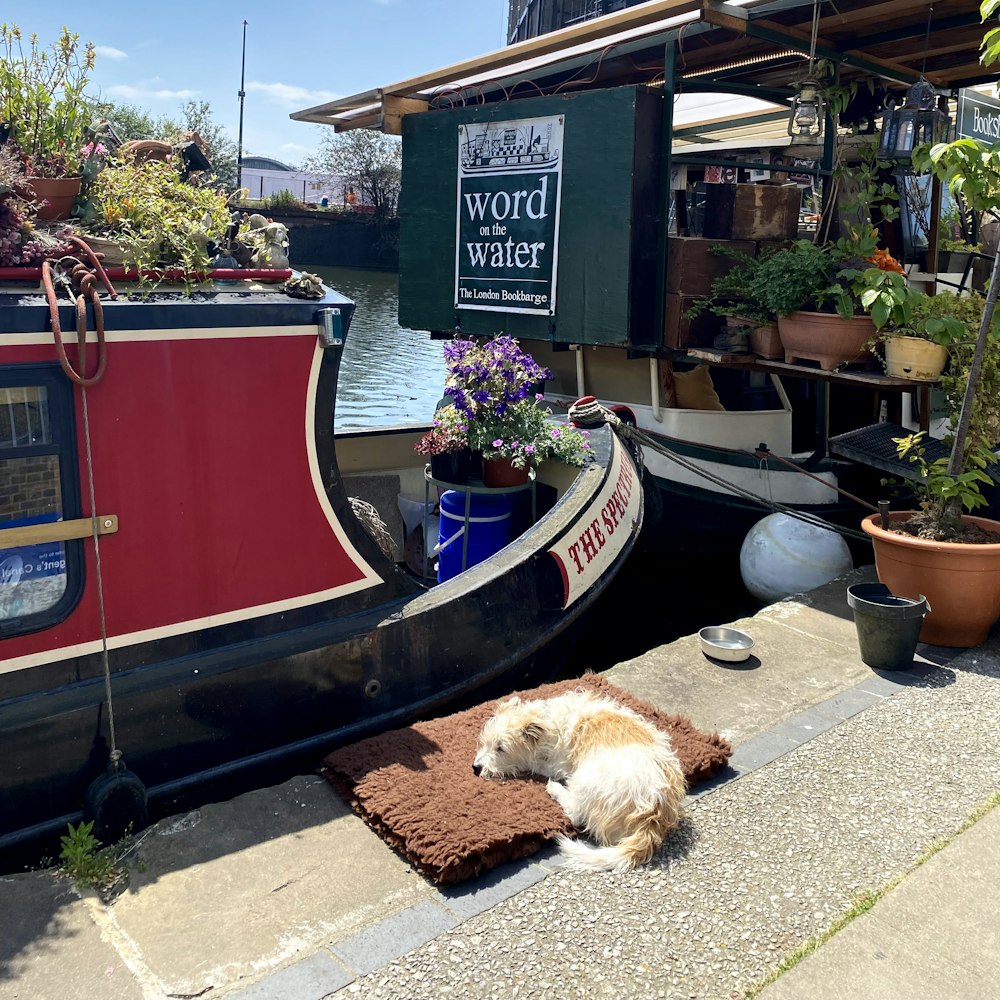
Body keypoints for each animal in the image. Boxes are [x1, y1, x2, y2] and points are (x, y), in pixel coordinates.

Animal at [472, 692, 684, 872]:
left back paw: (555, 788)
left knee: (576, 814)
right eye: (485, 742)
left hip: (586, 779)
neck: (547, 722)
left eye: (501, 748)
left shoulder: (555, 764)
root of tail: (653, 814)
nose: (476, 767)